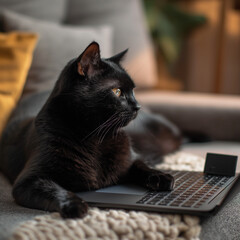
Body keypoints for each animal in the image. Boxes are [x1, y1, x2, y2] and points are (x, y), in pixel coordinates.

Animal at [0, 42, 175, 218]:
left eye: (133, 90)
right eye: (117, 91)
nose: (137, 106)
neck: (97, 137)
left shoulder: (131, 158)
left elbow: (141, 165)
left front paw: (162, 176)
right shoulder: (27, 181)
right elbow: (53, 189)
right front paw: (75, 204)